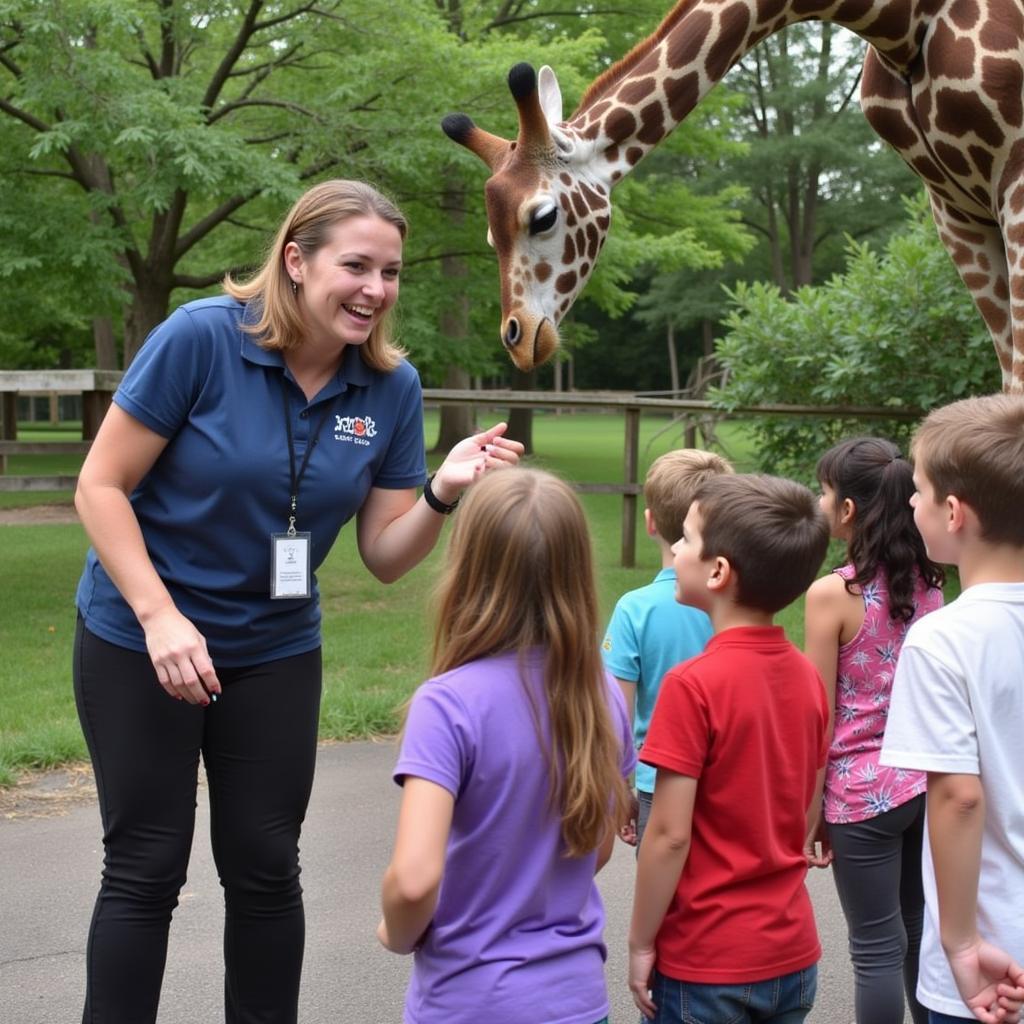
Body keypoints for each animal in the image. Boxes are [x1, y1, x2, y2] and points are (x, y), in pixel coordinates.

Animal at [444, 1, 1024, 391]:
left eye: (542, 217)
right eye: (489, 236)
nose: (517, 338)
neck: (899, 22)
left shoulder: (1012, 181)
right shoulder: (954, 208)